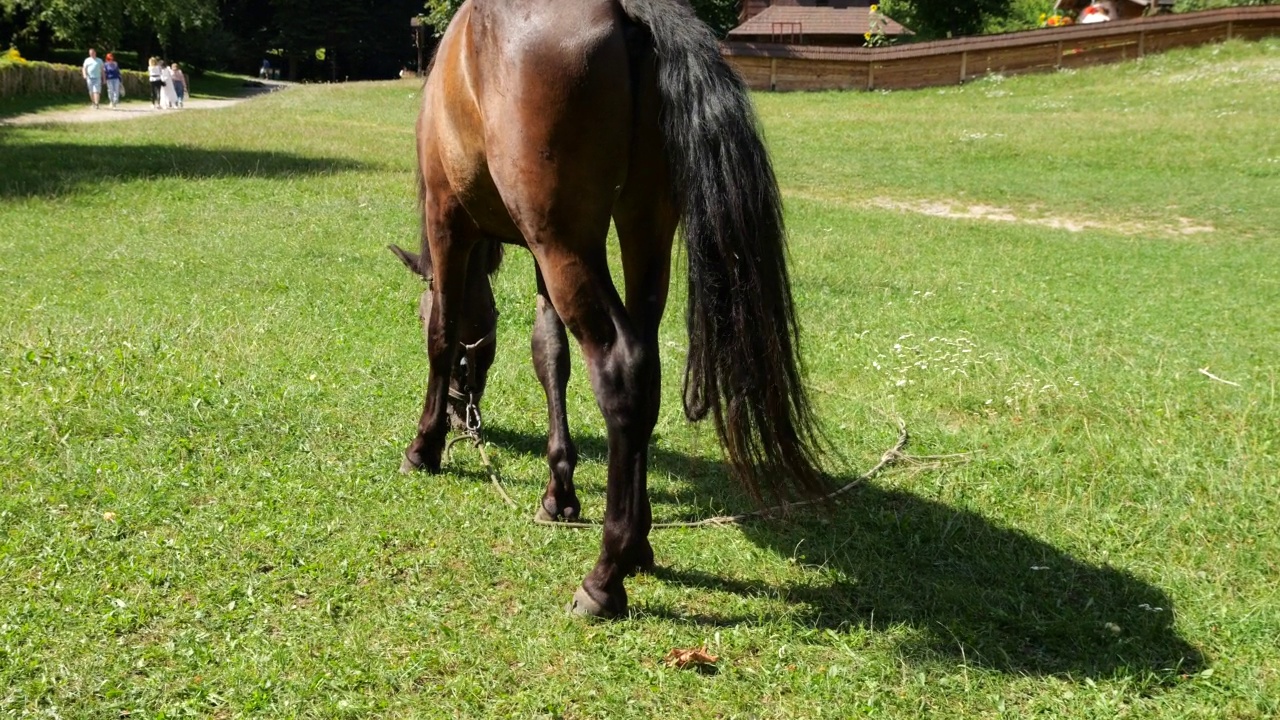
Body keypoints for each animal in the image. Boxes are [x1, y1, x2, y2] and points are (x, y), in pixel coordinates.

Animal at [394, 0, 824, 617]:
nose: (463, 418)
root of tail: (630, 10)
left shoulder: (450, 221)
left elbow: (442, 333)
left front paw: (424, 446)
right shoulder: (539, 258)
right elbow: (549, 357)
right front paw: (559, 492)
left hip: (567, 244)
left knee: (621, 370)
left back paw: (605, 575)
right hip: (639, 231)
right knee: (645, 375)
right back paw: (637, 542)